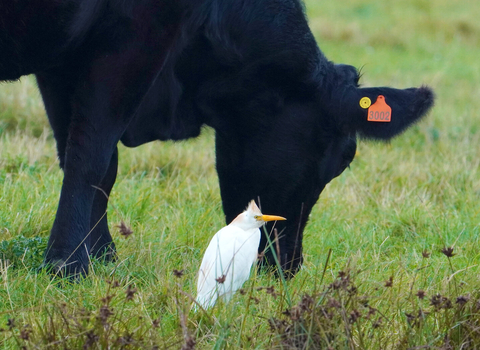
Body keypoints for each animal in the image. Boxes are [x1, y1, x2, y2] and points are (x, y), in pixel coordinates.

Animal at [0, 0, 436, 278]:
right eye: (344, 159)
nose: (287, 267)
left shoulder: (62, 60)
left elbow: (92, 162)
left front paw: (102, 253)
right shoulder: (136, 36)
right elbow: (91, 155)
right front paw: (70, 263)